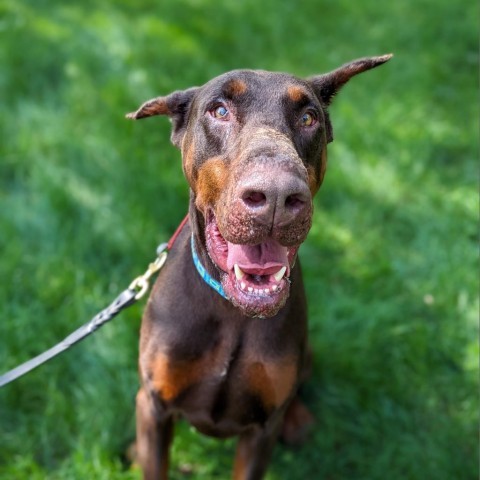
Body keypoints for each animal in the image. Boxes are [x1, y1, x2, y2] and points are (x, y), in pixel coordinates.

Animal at [127, 54, 394, 478]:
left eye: (308, 117)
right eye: (219, 110)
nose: (276, 196)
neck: (232, 312)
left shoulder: (262, 429)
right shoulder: (154, 405)